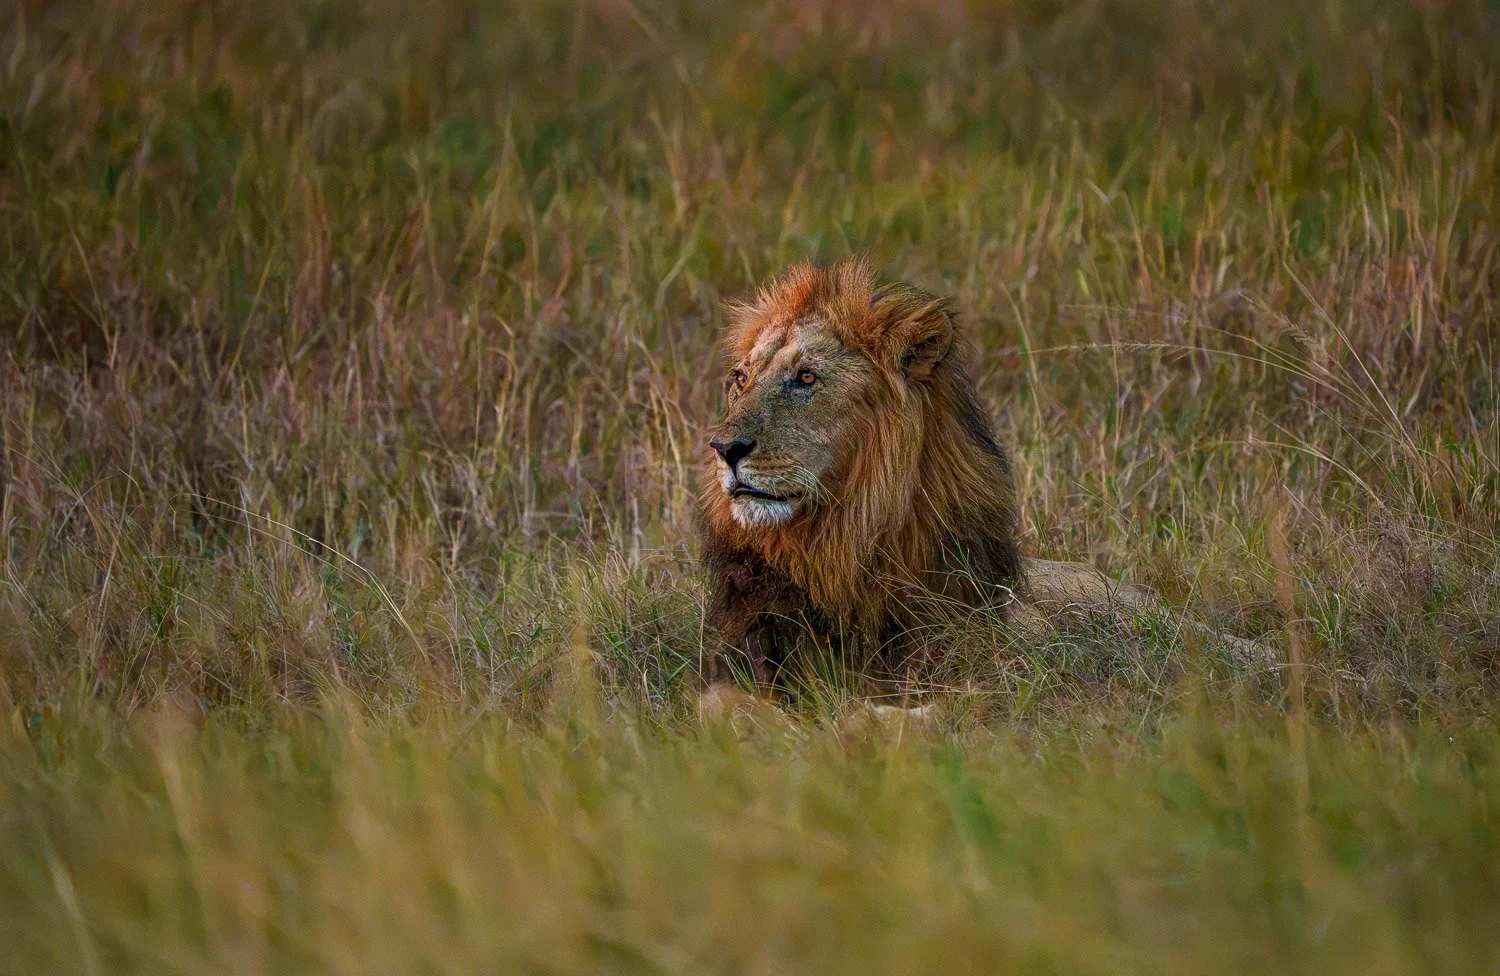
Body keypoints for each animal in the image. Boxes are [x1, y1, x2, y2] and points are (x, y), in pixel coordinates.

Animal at [697, 259, 1271, 703]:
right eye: (740, 379)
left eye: (806, 378)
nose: (725, 449)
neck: (836, 550)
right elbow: (722, 705)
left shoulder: (989, 663)